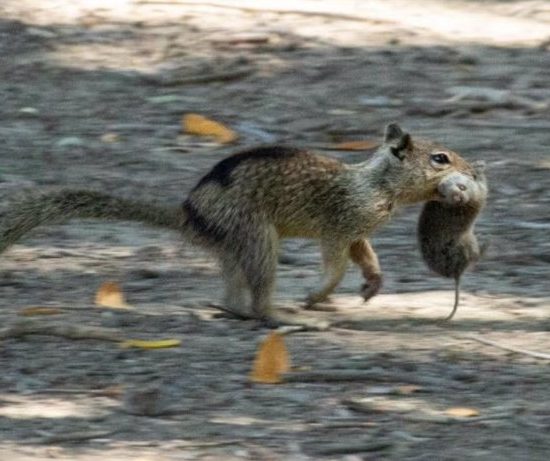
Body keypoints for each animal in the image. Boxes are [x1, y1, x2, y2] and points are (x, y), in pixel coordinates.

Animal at [0, 122, 478, 324]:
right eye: (440, 158)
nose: (473, 171)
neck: (376, 184)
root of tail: (188, 214)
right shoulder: (339, 224)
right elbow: (336, 263)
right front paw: (318, 294)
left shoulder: (358, 231)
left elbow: (366, 255)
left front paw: (372, 284)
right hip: (256, 236)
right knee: (260, 298)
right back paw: (285, 316)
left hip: (233, 245)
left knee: (232, 293)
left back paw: (232, 308)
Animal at [420, 161, 490, 320]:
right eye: (444, 195)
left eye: (462, 187)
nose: (459, 197)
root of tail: (456, 273)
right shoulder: (479, 194)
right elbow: (483, 184)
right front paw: (479, 167)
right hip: (468, 243)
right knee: (475, 257)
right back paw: (486, 241)